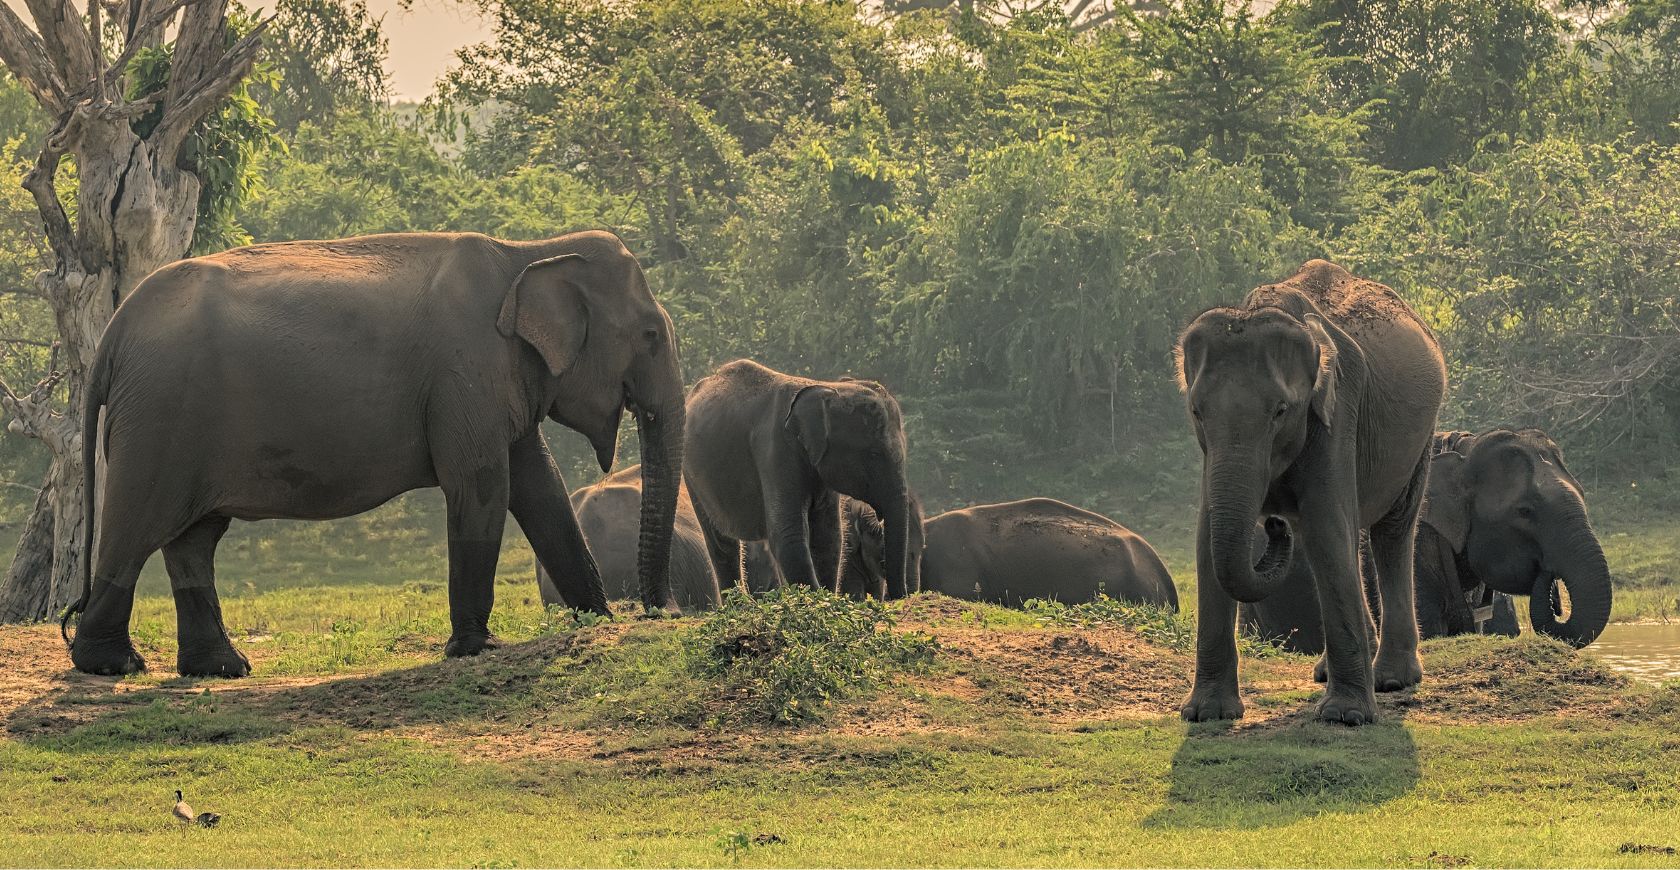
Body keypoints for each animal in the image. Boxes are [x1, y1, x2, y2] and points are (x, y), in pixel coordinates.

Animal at [65, 230, 686, 677]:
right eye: (652, 335)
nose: (662, 612)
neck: (529, 252)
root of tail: (114, 332)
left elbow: (541, 486)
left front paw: (598, 621)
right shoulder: (466, 374)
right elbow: (482, 484)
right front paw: (477, 649)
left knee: (194, 539)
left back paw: (221, 669)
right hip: (160, 419)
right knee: (137, 526)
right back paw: (113, 665)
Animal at [683, 361, 918, 598]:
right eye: (874, 454)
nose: (899, 598)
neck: (826, 387)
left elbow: (828, 537)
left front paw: (824, 596)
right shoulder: (775, 449)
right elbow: (788, 534)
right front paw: (815, 599)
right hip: (691, 476)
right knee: (721, 544)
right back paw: (738, 603)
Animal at [1175, 259, 1446, 725]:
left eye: (1281, 411)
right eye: (1196, 411)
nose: (1274, 524)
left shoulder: (1339, 411)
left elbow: (1325, 529)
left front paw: (1345, 717)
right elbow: (1207, 536)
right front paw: (1206, 713)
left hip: (1421, 437)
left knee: (1391, 531)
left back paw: (1392, 679)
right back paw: (1332, 671)